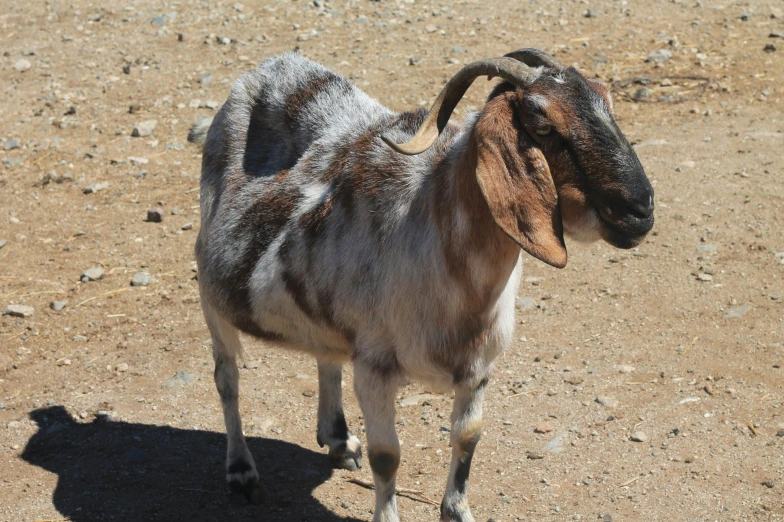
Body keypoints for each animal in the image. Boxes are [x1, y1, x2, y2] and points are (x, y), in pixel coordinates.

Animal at [187, 49, 652, 520]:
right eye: (542, 125)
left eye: (608, 100)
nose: (641, 209)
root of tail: (272, 67)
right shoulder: (374, 367)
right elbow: (386, 456)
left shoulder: (479, 366)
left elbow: (468, 437)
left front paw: (457, 511)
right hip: (211, 297)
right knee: (227, 379)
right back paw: (242, 471)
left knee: (326, 356)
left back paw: (338, 440)